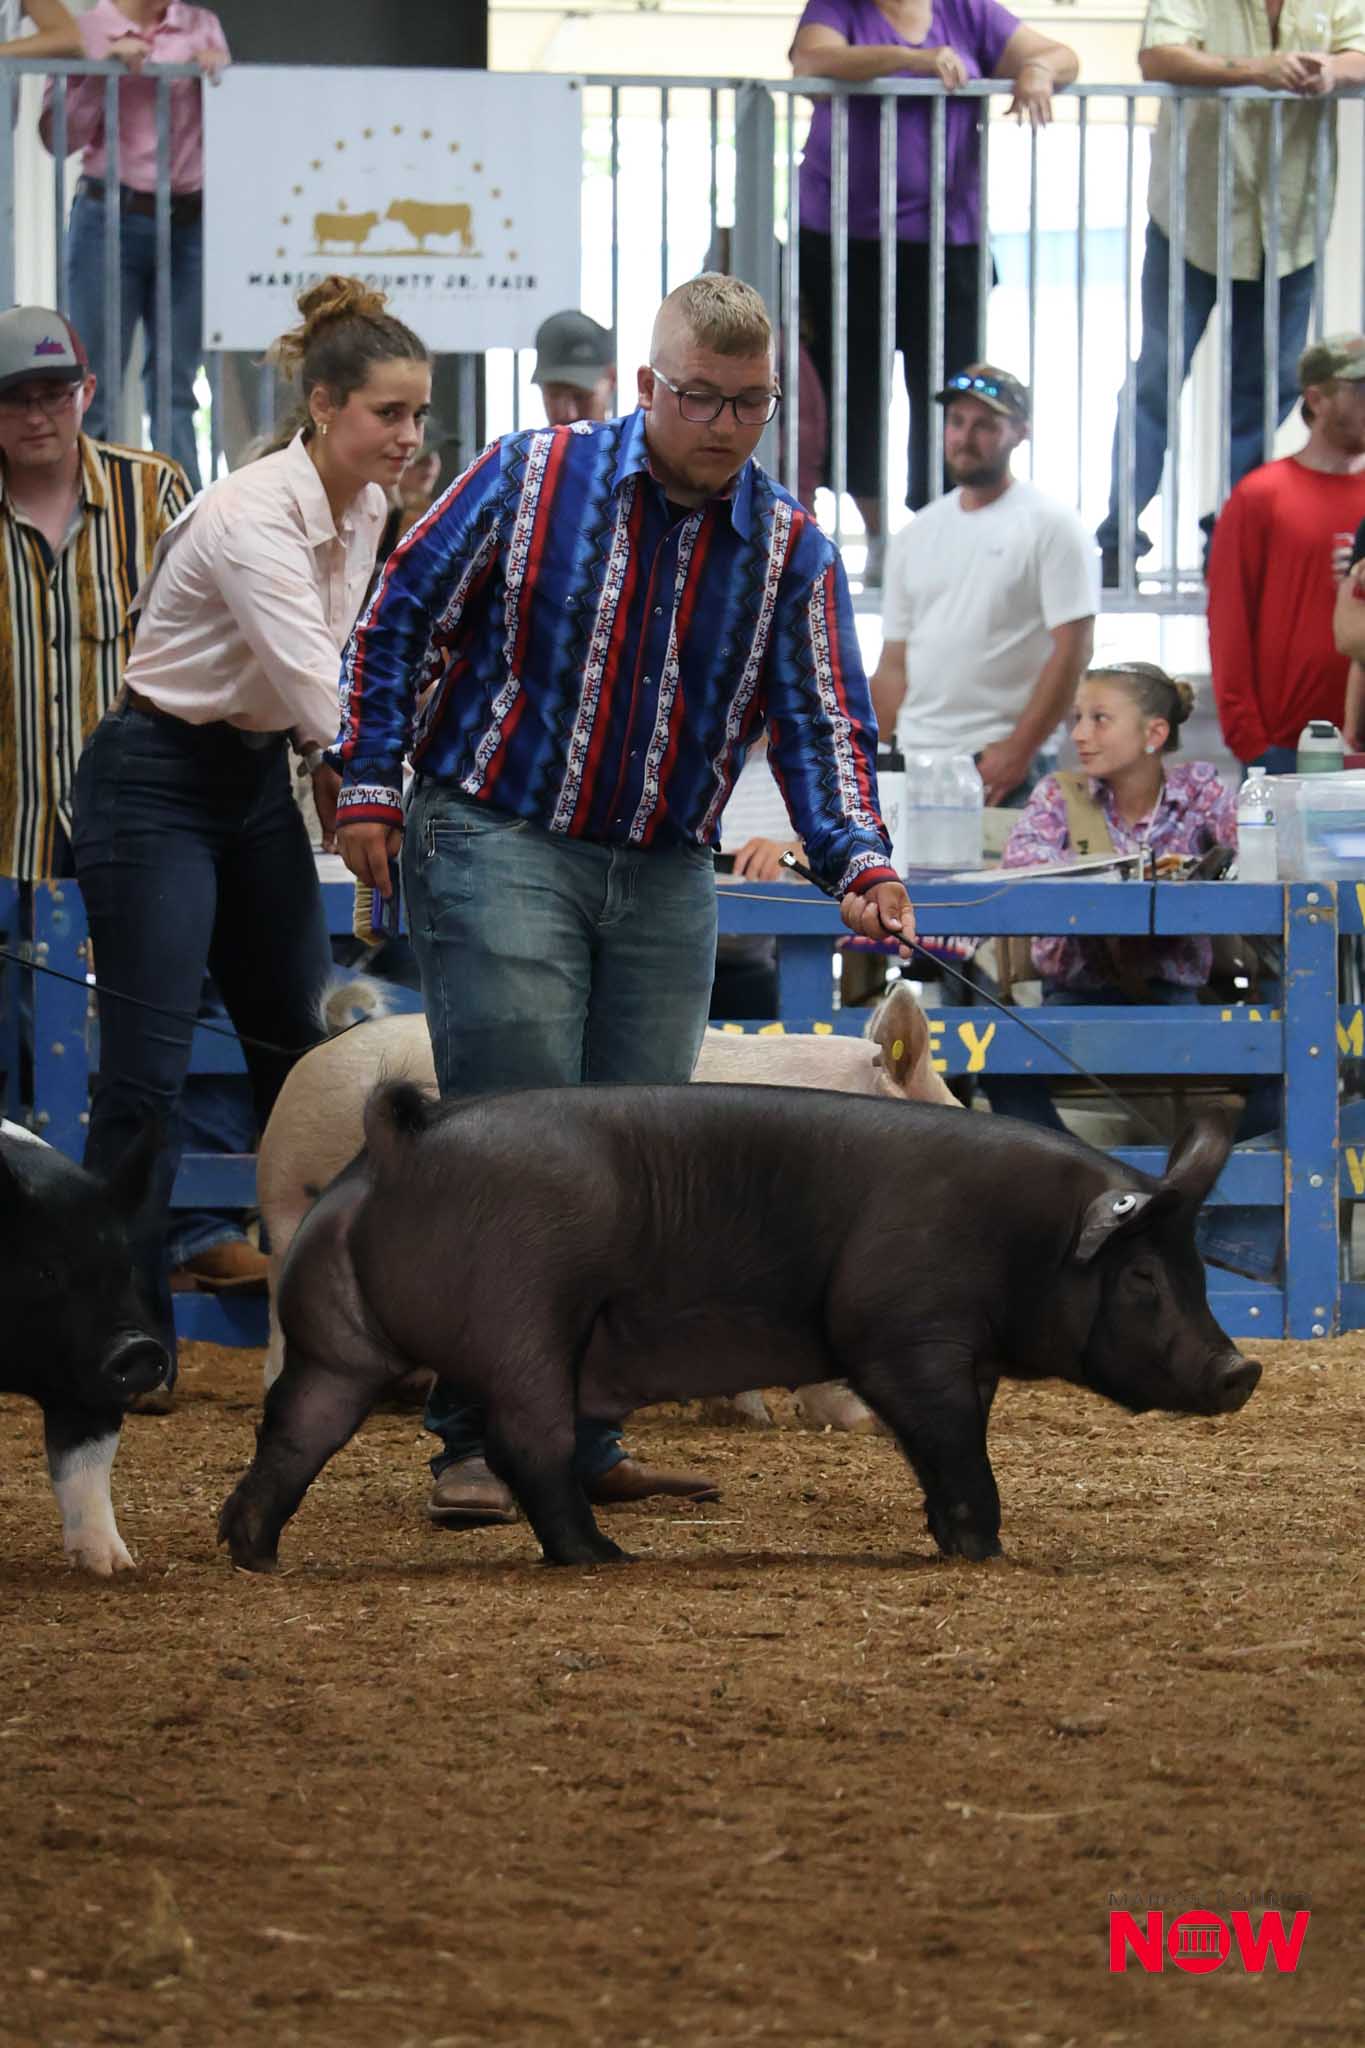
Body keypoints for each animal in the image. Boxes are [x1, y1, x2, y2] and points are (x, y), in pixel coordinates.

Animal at [0, 1120, 170, 1575]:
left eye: (126, 1265)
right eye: (46, 1271)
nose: (138, 1347)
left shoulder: (91, 1387)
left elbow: (83, 1467)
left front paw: (114, 1567)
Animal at [220, 1088, 1259, 1574]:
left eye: (1197, 1269)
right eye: (1140, 1276)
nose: (1240, 1370)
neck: (1023, 1240)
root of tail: (398, 1149)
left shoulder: (958, 1355)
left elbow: (946, 1450)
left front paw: (950, 1540)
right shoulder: (904, 1335)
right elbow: (955, 1449)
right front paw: (982, 1551)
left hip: (335, 1340)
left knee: (293, 1431)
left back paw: (252, 1551)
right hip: (523, 1326)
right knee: (529, 1449)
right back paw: (604, 1558)